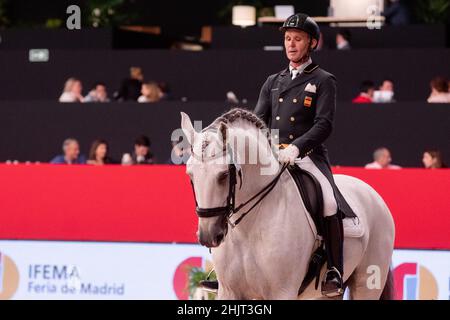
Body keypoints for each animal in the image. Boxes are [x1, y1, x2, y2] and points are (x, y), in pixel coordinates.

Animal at [181, 108, 396, 300]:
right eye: (190, 174)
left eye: (224, 174)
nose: (208, 236)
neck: (249, 228)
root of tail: (373, 194)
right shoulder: (229, 292)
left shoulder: (282, 292)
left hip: (368, 282)